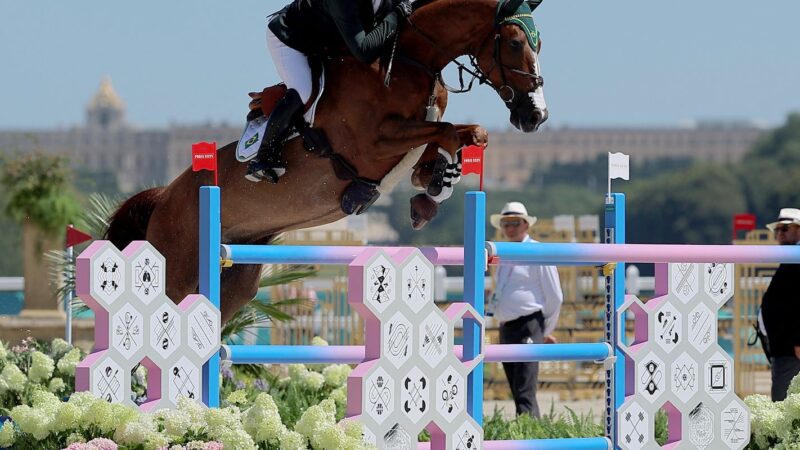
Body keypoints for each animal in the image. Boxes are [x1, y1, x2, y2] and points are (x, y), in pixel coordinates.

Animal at [103, 0, 548, 324]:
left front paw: (433, 189)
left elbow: (464, 136)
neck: (409, 59)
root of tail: (164, 197)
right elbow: (453, 132)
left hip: (236, 276)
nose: (535, 116)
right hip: (177, 269)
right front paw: (432, 187)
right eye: (513, 43)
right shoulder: (371, 144)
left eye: (537, 43)